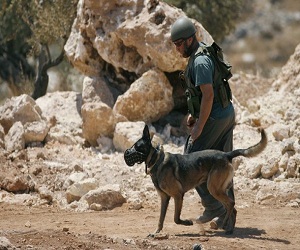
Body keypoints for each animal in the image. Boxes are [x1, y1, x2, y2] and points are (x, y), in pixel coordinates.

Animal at [123, 126, 268, 235]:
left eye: (137, 146)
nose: (126, 154)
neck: (157, 160)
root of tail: (226, 154)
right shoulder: (164, 198)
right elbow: (161, 219)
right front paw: (156, 232)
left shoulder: (178, 195)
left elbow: (176, 219)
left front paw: (187, 222)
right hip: (220, 188)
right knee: (232, 207)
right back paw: (230, 228)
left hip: (214, 188)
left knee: (230, 203)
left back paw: (225, 225)